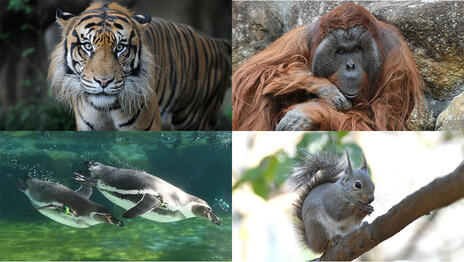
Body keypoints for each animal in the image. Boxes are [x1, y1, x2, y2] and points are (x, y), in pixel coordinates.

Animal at [48, 2, 231, 130]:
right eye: (87, 46)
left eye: (120, 48)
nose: (103, 82)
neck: (105, 109)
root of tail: (216, 42)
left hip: (194, 117)